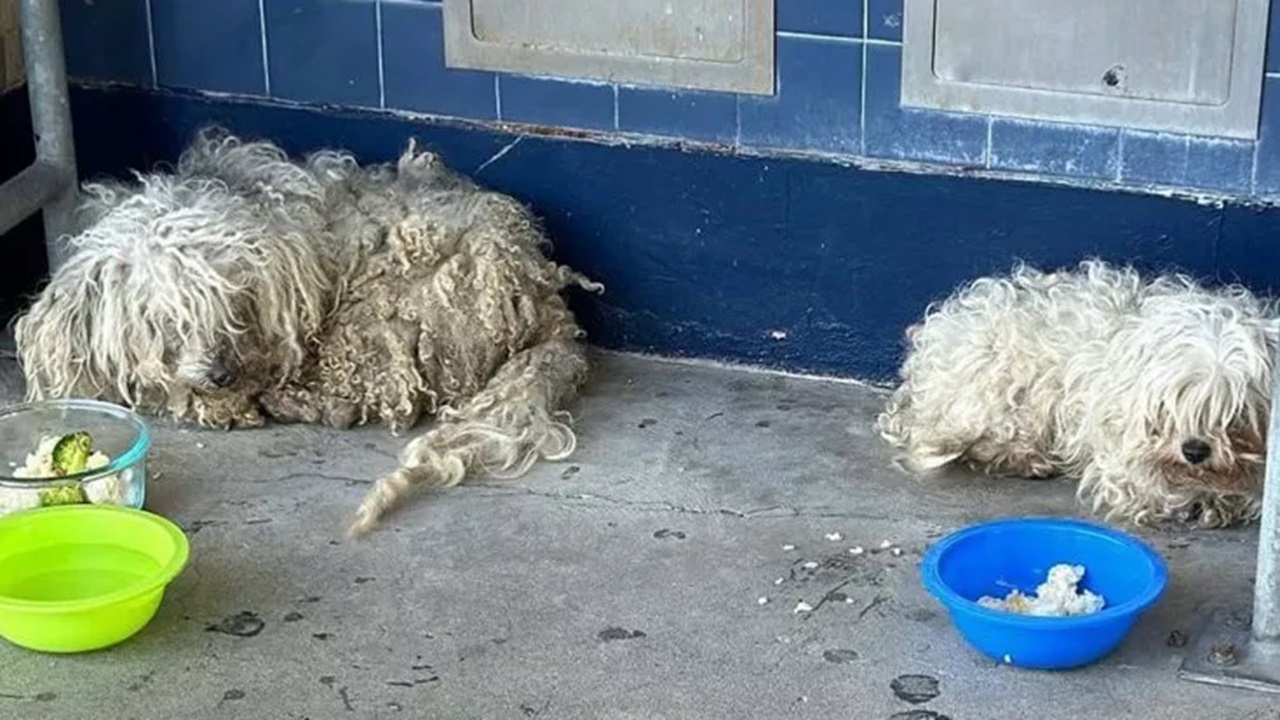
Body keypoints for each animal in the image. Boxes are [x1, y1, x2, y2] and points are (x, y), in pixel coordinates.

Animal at [15, 128, 604, 532]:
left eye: (235, 301)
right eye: (167, 322)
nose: (222, 374)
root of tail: (542, 293)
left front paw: (214, 403)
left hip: (386, 315)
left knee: (372, 395)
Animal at [880, 258, 1280, 527]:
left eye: (1236, 412)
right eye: (1170, 404)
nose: (1195, 451)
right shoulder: (1121, 463)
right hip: (1004, 395)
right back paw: (1028, 459)